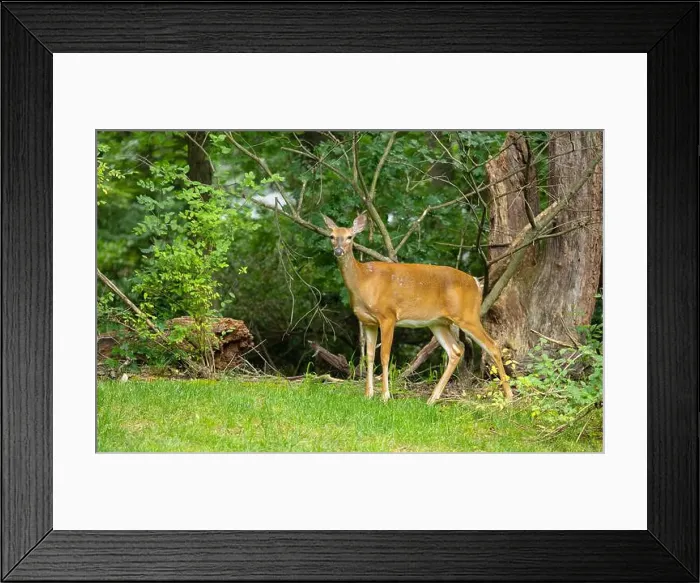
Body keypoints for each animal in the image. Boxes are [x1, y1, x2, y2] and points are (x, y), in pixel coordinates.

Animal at [322, 213, 512, 405]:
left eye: (350, 237)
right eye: (331, 236)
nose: (338, 251)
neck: (363, 280)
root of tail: (475, 282)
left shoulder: (388, 315)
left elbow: (384, 355)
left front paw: (385, 396)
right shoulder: (368, 321)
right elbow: (368, 356)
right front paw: (368, 395)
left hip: (467, 315)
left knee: (492, 345)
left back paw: (509, 397)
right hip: (438, 322)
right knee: (456, 350)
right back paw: (432, 399)